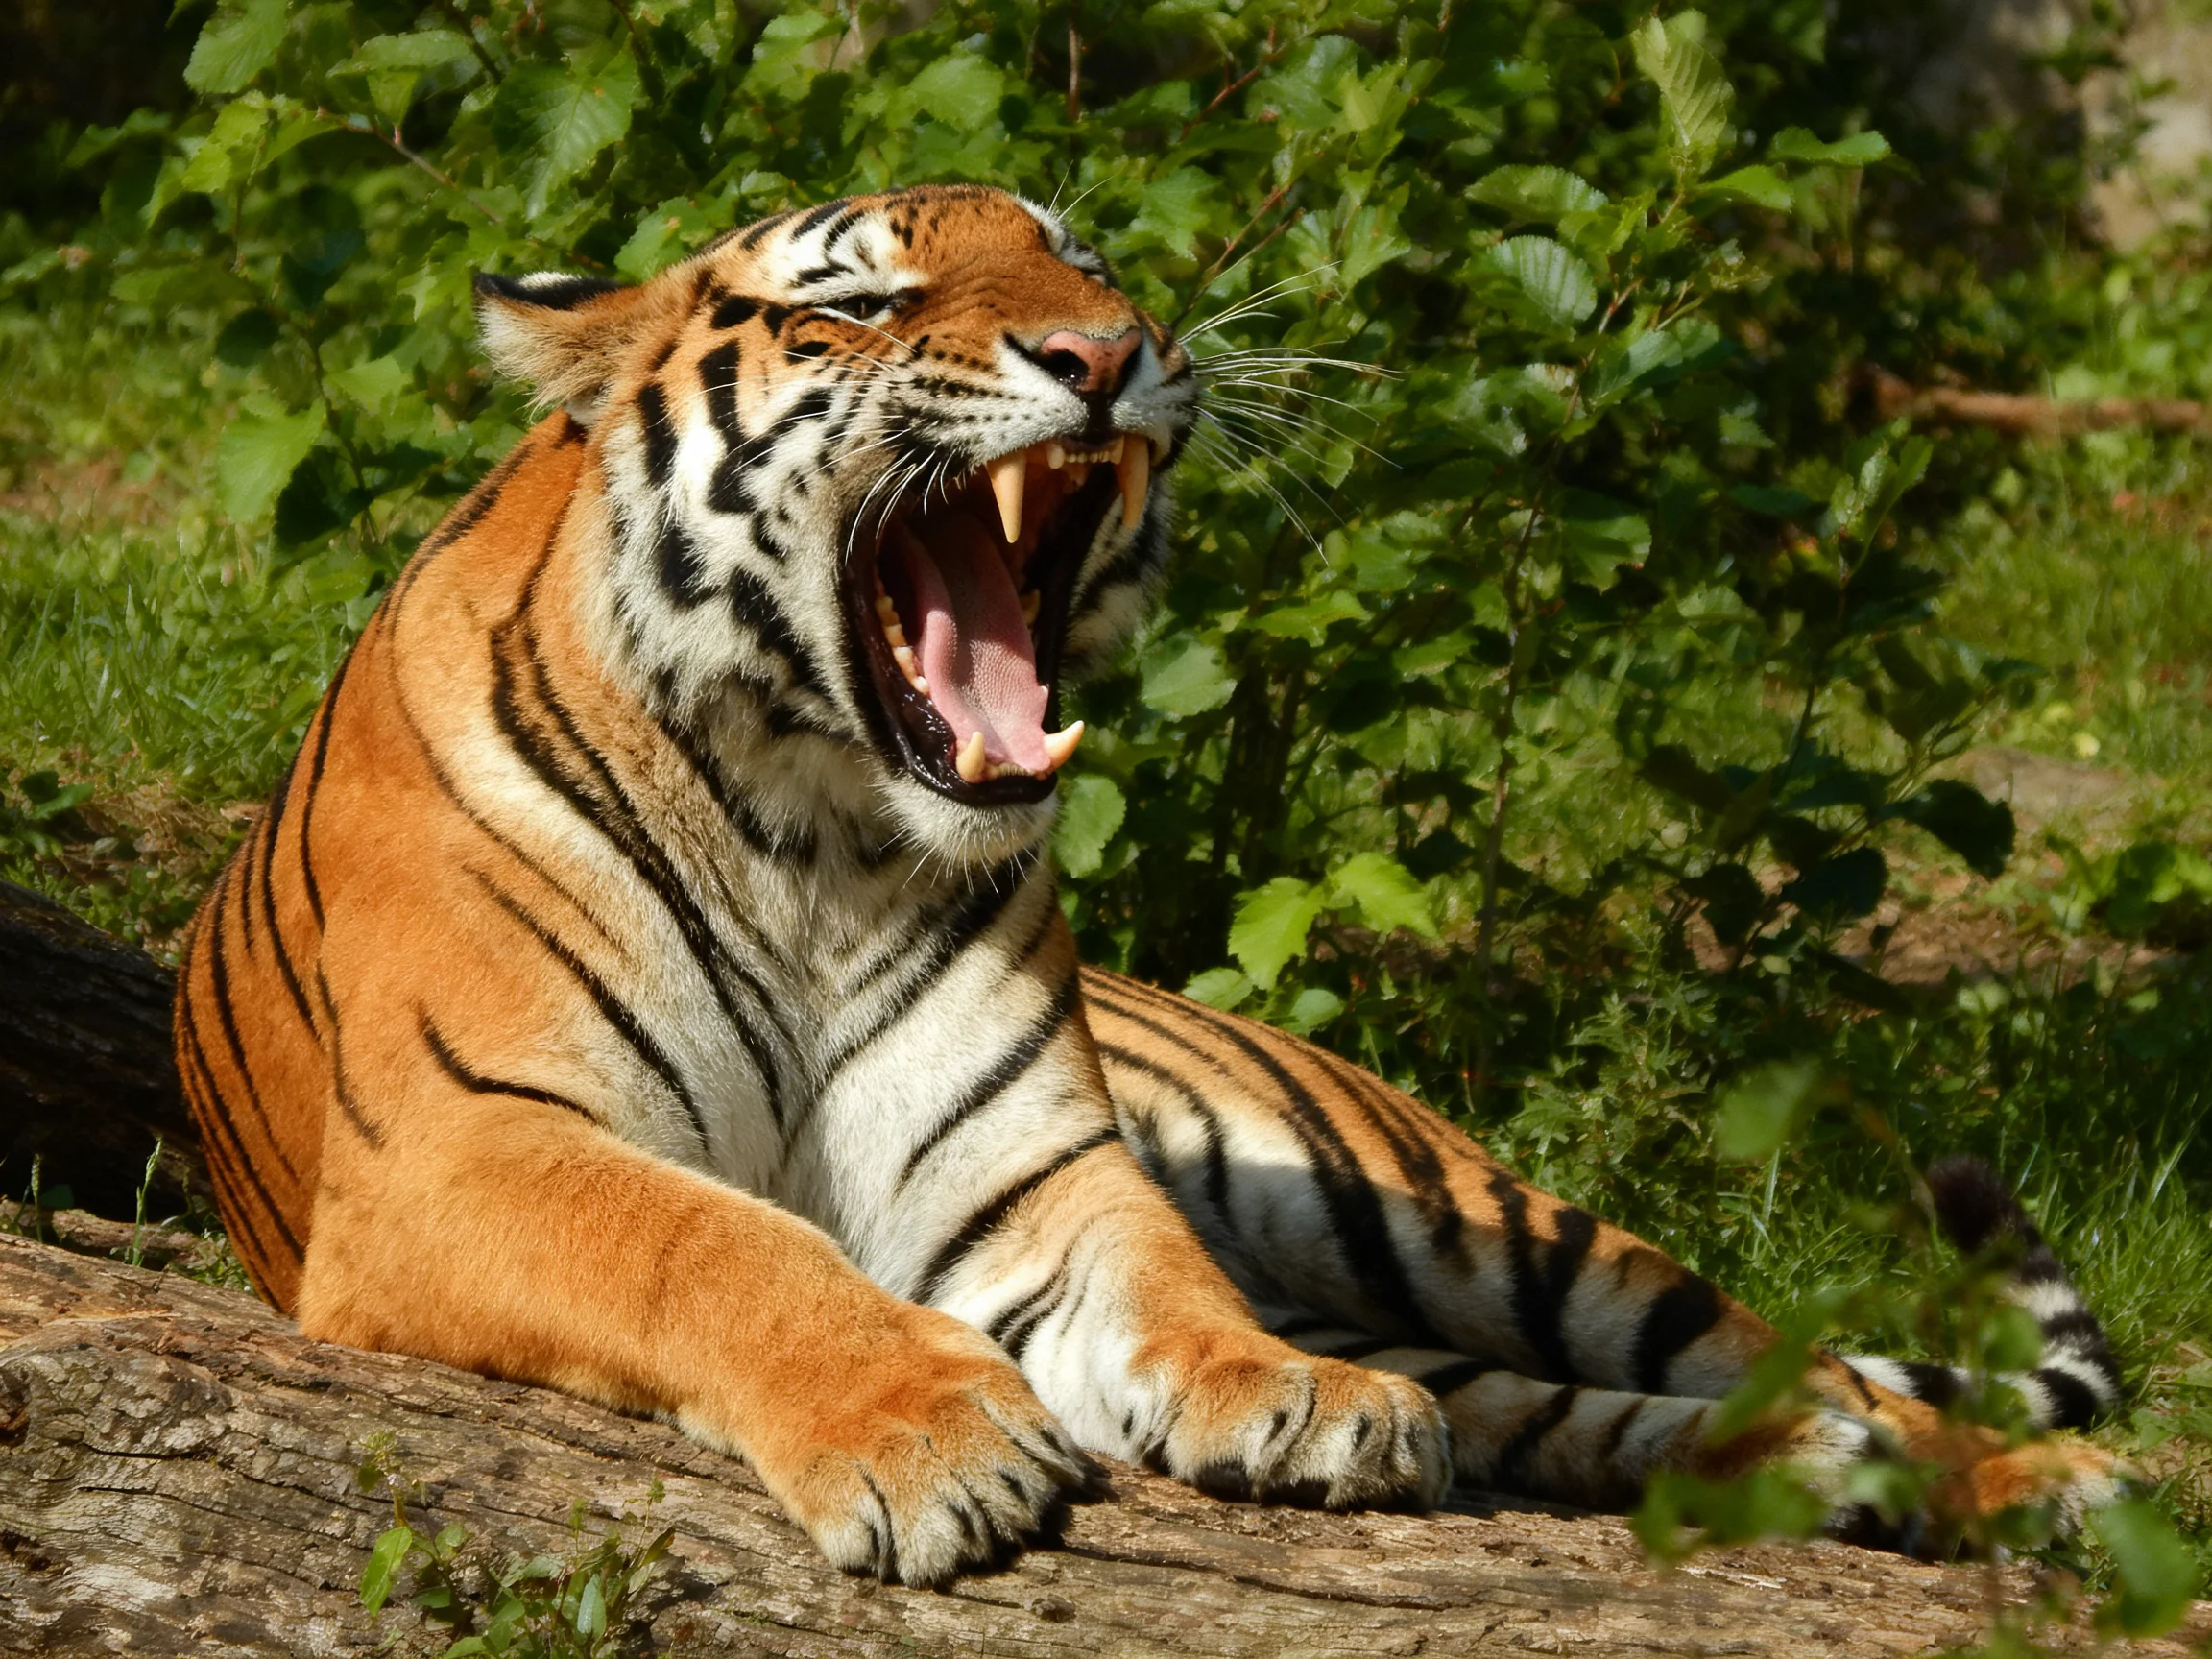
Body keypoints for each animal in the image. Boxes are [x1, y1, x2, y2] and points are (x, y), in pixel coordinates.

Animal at [173, 184, 2124, 1586]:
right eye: (858, 303)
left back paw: (2054, 1484)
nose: (1105, 352)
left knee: (1810, 1363)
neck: (810, 823)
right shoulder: (458, 1143)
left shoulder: (1026, 1170)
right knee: (1645, 1417)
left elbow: (1160, 1274)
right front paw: (934, 1436)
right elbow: (717, 1241)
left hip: (1471, 1224)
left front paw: (1281, 1396)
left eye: (1077, 255)